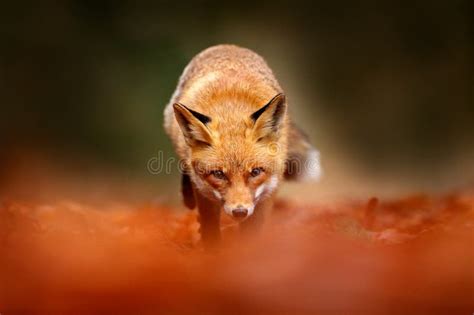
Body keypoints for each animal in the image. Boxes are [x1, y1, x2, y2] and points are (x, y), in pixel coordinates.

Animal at [164, 44, 322, 244]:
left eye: (255, 172)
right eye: (218, 174)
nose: (240, 211)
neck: (232, 112)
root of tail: (229, 46)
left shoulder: (268, 192)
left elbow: (252, 233)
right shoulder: (204, 192)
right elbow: (210, 228)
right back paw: (187, 195)